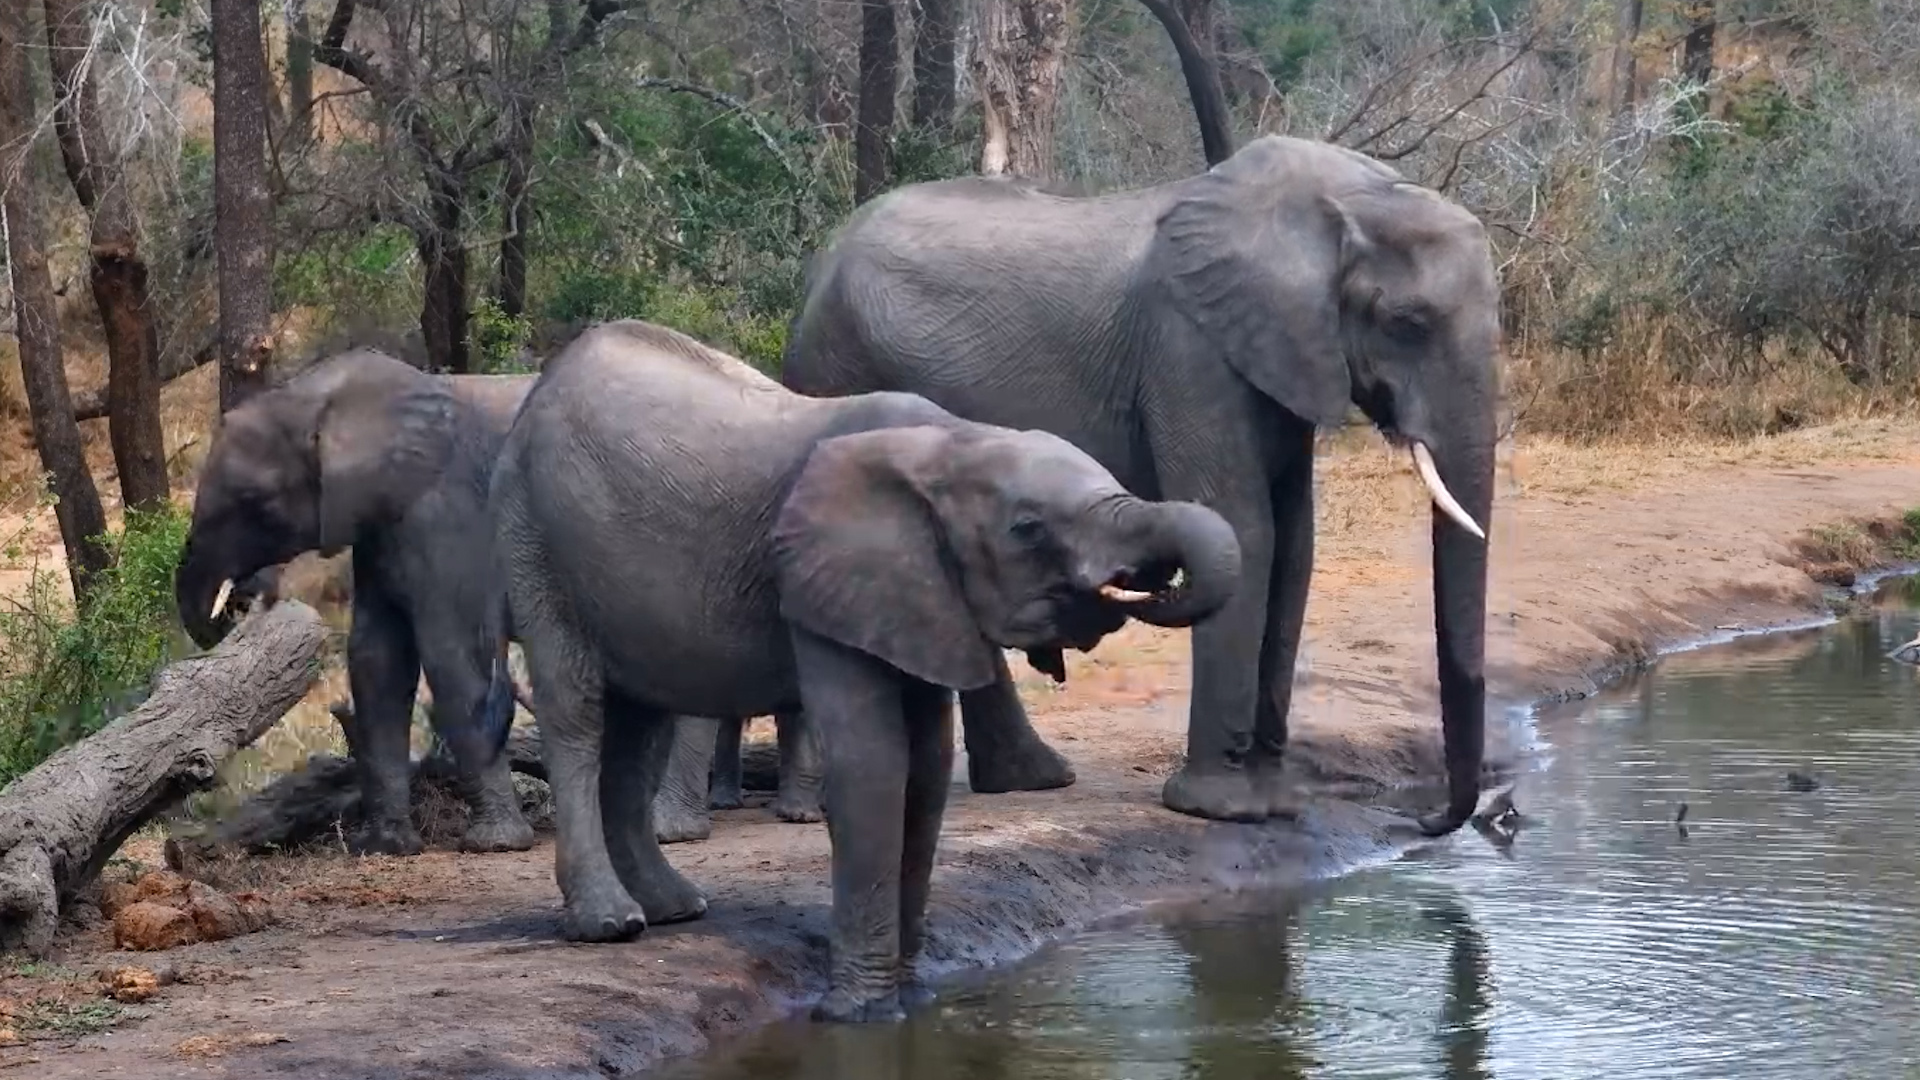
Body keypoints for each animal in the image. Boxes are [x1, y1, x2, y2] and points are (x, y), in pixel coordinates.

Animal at [173, 348, 727, 854]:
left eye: (255, 503)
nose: (245, 599)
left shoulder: (448, 517)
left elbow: (450, 654)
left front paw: (495, 844)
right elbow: (377, 659)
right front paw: (387, 846)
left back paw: (671, 830)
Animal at [461, 320, 1239, 1019]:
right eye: (1027, 529)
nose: (1144, 581)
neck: (948, 444)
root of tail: (544, 383)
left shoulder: (920, 595)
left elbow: (926, 769)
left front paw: (913, 997)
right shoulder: (824, 576)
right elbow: (873, 763)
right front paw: (858, 1014)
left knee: (639, 723)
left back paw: (674, 909)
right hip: (534, 539)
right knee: (580, 713)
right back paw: (610, 923)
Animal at [783, 133, 1500, 835]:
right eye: (1407, 323)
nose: (1427, 821)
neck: (1348, 195)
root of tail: (820, 261)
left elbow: (1296, 547)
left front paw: (1276, 805)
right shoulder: (1189, 347)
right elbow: (1247, 530)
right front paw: (1221, 810)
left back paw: (1033, 779)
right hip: (837, 363)